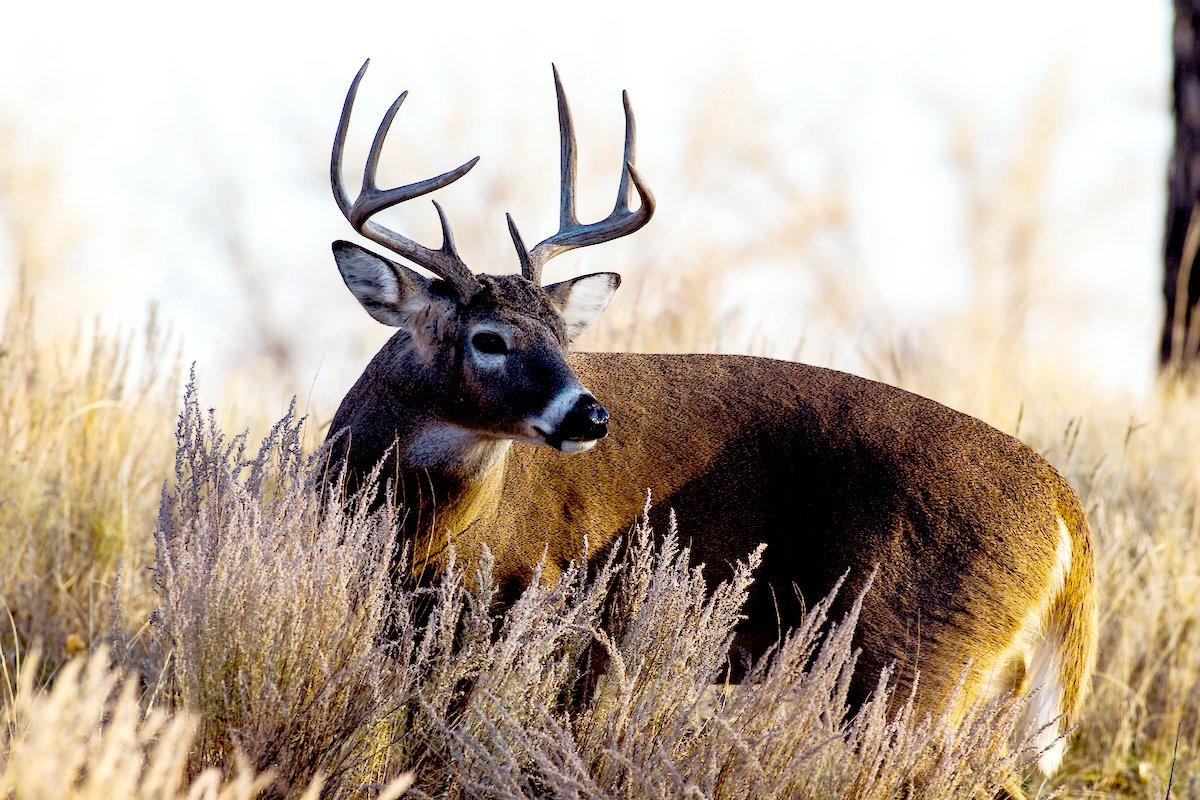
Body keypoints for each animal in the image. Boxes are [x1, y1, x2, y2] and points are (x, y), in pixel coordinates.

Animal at [324, 59, 1094, 791]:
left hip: (916, 662)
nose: (590, 414)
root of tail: (1064, 508)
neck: (422, 529)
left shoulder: (522, 603)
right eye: (489, 338)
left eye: (560, 337)